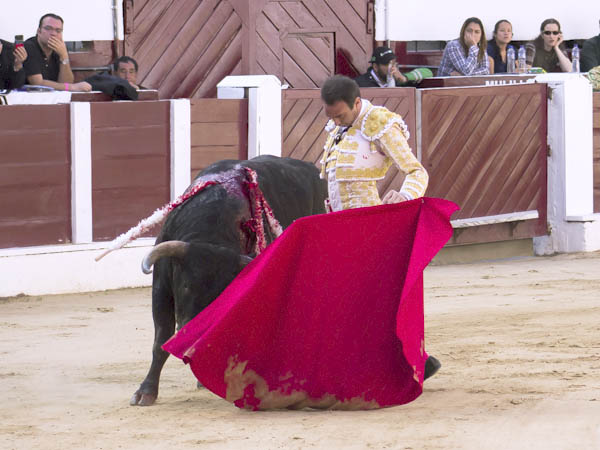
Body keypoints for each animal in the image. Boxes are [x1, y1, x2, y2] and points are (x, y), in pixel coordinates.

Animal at [130, 155, 328, 406]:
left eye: (221, 295)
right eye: (185, 286)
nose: (189, 333)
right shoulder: (161, 287)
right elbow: (161, 341)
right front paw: (145, 392)